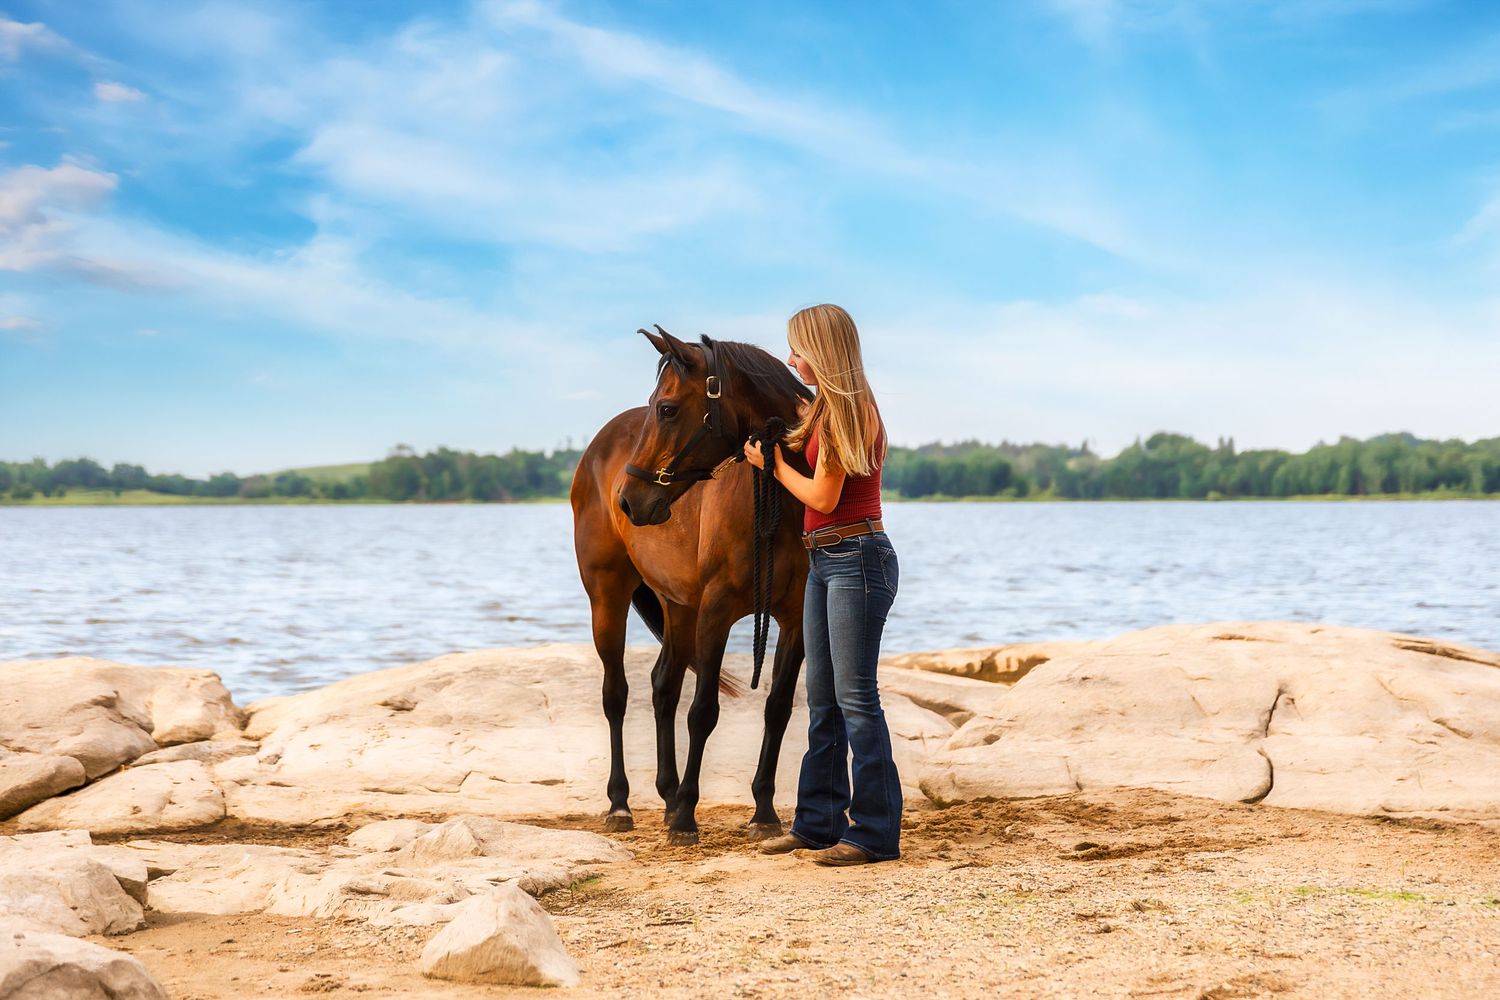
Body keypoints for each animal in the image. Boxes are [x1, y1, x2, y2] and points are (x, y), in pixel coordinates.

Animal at [570, 326, 814, 845]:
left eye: (666, 409)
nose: (629, 499)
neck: (776, 505)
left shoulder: (795, 619)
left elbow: (778, 709)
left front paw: (763, 811)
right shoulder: (716, 612)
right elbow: (703, 712)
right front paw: (686, 816)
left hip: (677, 605)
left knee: (663, 685)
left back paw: (665, 794)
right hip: (609, 597)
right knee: (616, 693)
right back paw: (621, 804)